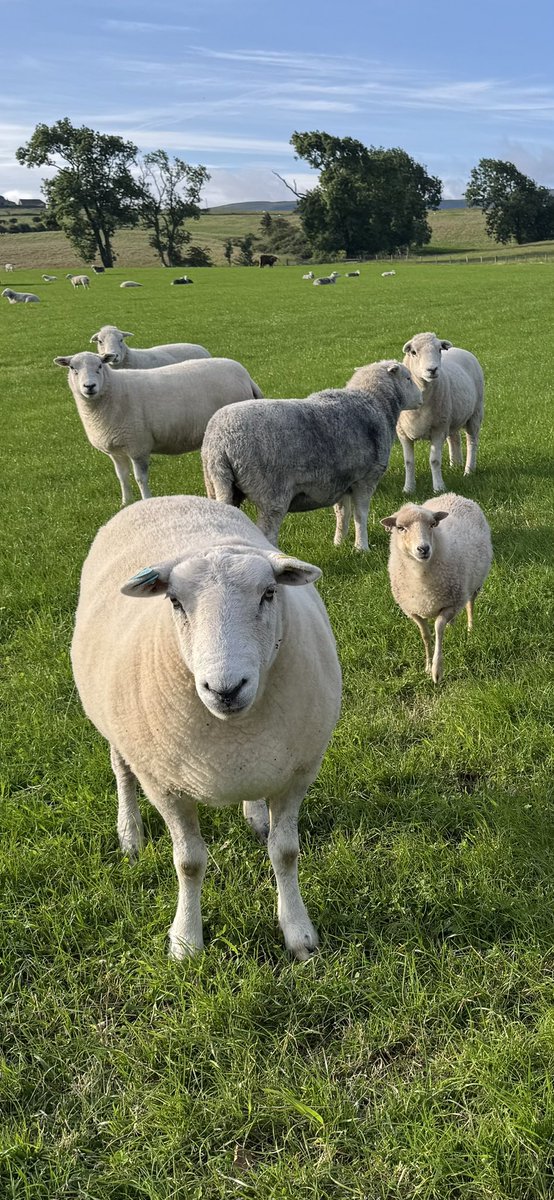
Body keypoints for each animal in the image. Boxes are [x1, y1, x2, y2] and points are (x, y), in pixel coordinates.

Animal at [53, 351, 264, 506]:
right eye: (72, 368)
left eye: (99, 366)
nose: (89, 386)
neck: (113, 392)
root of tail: (245, 375)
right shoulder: (115, 450)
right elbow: (122, 477)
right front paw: (125, 503)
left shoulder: (137, 446)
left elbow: (140, 478)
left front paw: (146, 500)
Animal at [71, 494, 342, 959]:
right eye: (175, 602)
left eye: (269, 593)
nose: (225, 688)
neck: (232, 728)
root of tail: (166, 498)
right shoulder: (165, 786)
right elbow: (189, 862)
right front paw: (186, 941)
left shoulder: (297, 773)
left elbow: (286, 853)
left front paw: (298, 933)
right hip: (115, 726)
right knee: (122, 771)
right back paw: (130, 834)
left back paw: (254, 814)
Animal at [201, 360, 422, 550]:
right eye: (408, 378)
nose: (421, 397)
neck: (374, 402)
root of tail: (221, 443)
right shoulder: (366, 479)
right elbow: (361, 515)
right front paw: (362, 547)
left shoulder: (342, 481)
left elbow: (342, 513)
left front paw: (339, 543)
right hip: (271, 494)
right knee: (267, 533)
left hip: (217, 484)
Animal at [381, 492, 492, 683]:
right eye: (400, 528)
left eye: (432, 524)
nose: (423, 548)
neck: (420, 576)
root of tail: (454, 495)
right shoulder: (413, 611)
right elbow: (425, 635)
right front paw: (426, 666)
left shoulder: (451, 604)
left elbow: (438, 629)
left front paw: (436, 670)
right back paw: (453, 628)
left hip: (473, 584)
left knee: (470, 605)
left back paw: (470, 630)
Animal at [398, 331, 485, 494]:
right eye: (414, 352)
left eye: (439, 349)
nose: (432, 370)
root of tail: (460, 349)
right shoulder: (403, 433)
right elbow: (408, 462)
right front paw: (408, 489)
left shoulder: (438, 429)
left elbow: (434, 460)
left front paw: (439, 488)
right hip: (450, 417)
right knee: (454, 438)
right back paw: (455, 465)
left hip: (475, 413)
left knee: (471, 442)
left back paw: (468, 470)